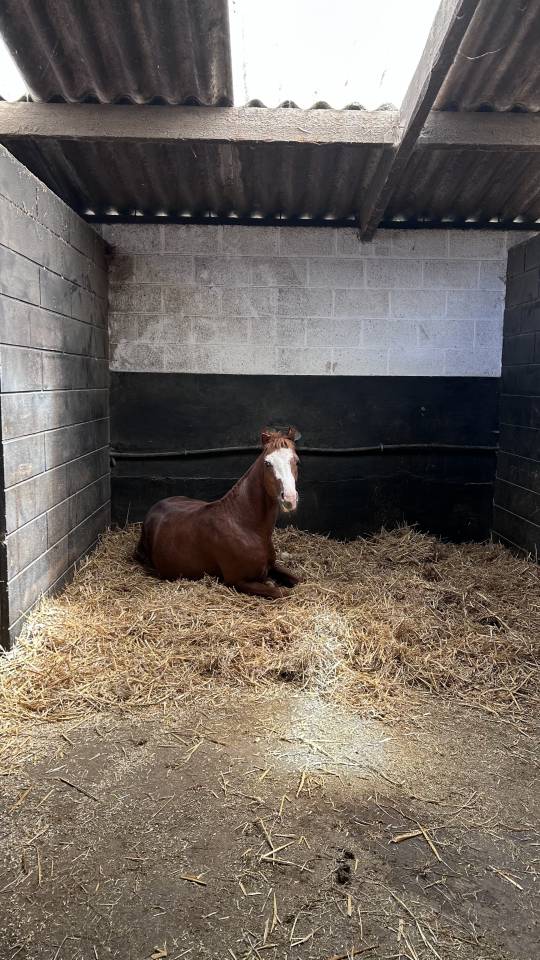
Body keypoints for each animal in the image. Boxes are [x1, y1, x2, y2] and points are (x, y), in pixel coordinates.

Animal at [135, 427, 301, 599]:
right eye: (267, 463)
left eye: (296, 461)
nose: (289, 498)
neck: (245, 525)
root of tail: (157, 506)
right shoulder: (238, 581)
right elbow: (281, 591)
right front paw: (271, 583)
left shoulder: (272, 566)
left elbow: (299, 580)